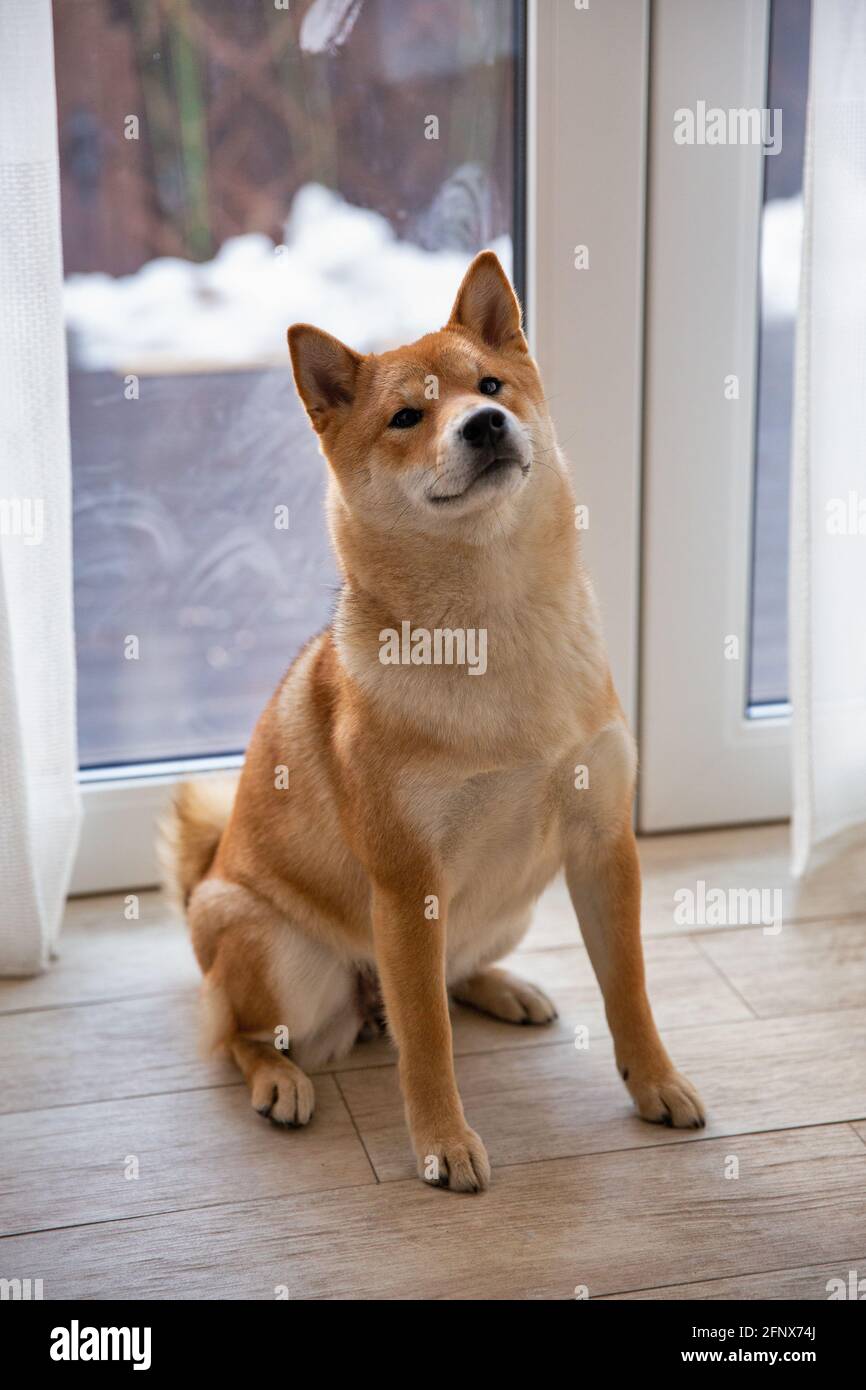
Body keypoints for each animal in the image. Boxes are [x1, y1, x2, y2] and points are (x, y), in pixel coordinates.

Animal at [161, 255, 706, 1189]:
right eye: (407, 417)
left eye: (489, 386)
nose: (485, 424)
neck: (495, 626)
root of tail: (211, 874)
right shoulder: (408, 883)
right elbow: (426, 1043)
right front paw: (444, 1142)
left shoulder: (602, 841)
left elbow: (628, 990)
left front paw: (656, 1082)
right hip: (280, 953)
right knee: (241, 1034)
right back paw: (279, 1081)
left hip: (513, 902)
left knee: (450, 976)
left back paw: (503, 988)